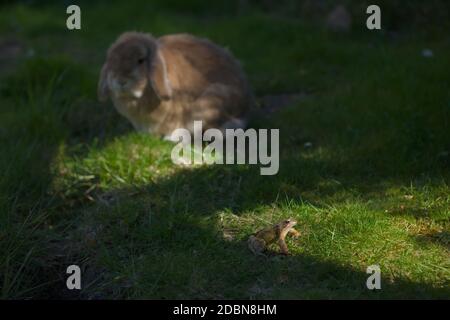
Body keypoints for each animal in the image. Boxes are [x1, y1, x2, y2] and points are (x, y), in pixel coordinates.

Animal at [98, 31, 253, 140]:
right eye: (111, 60)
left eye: (140, 60)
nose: (121, 81)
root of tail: (245, 107)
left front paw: (169, 138)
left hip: (211, 103)